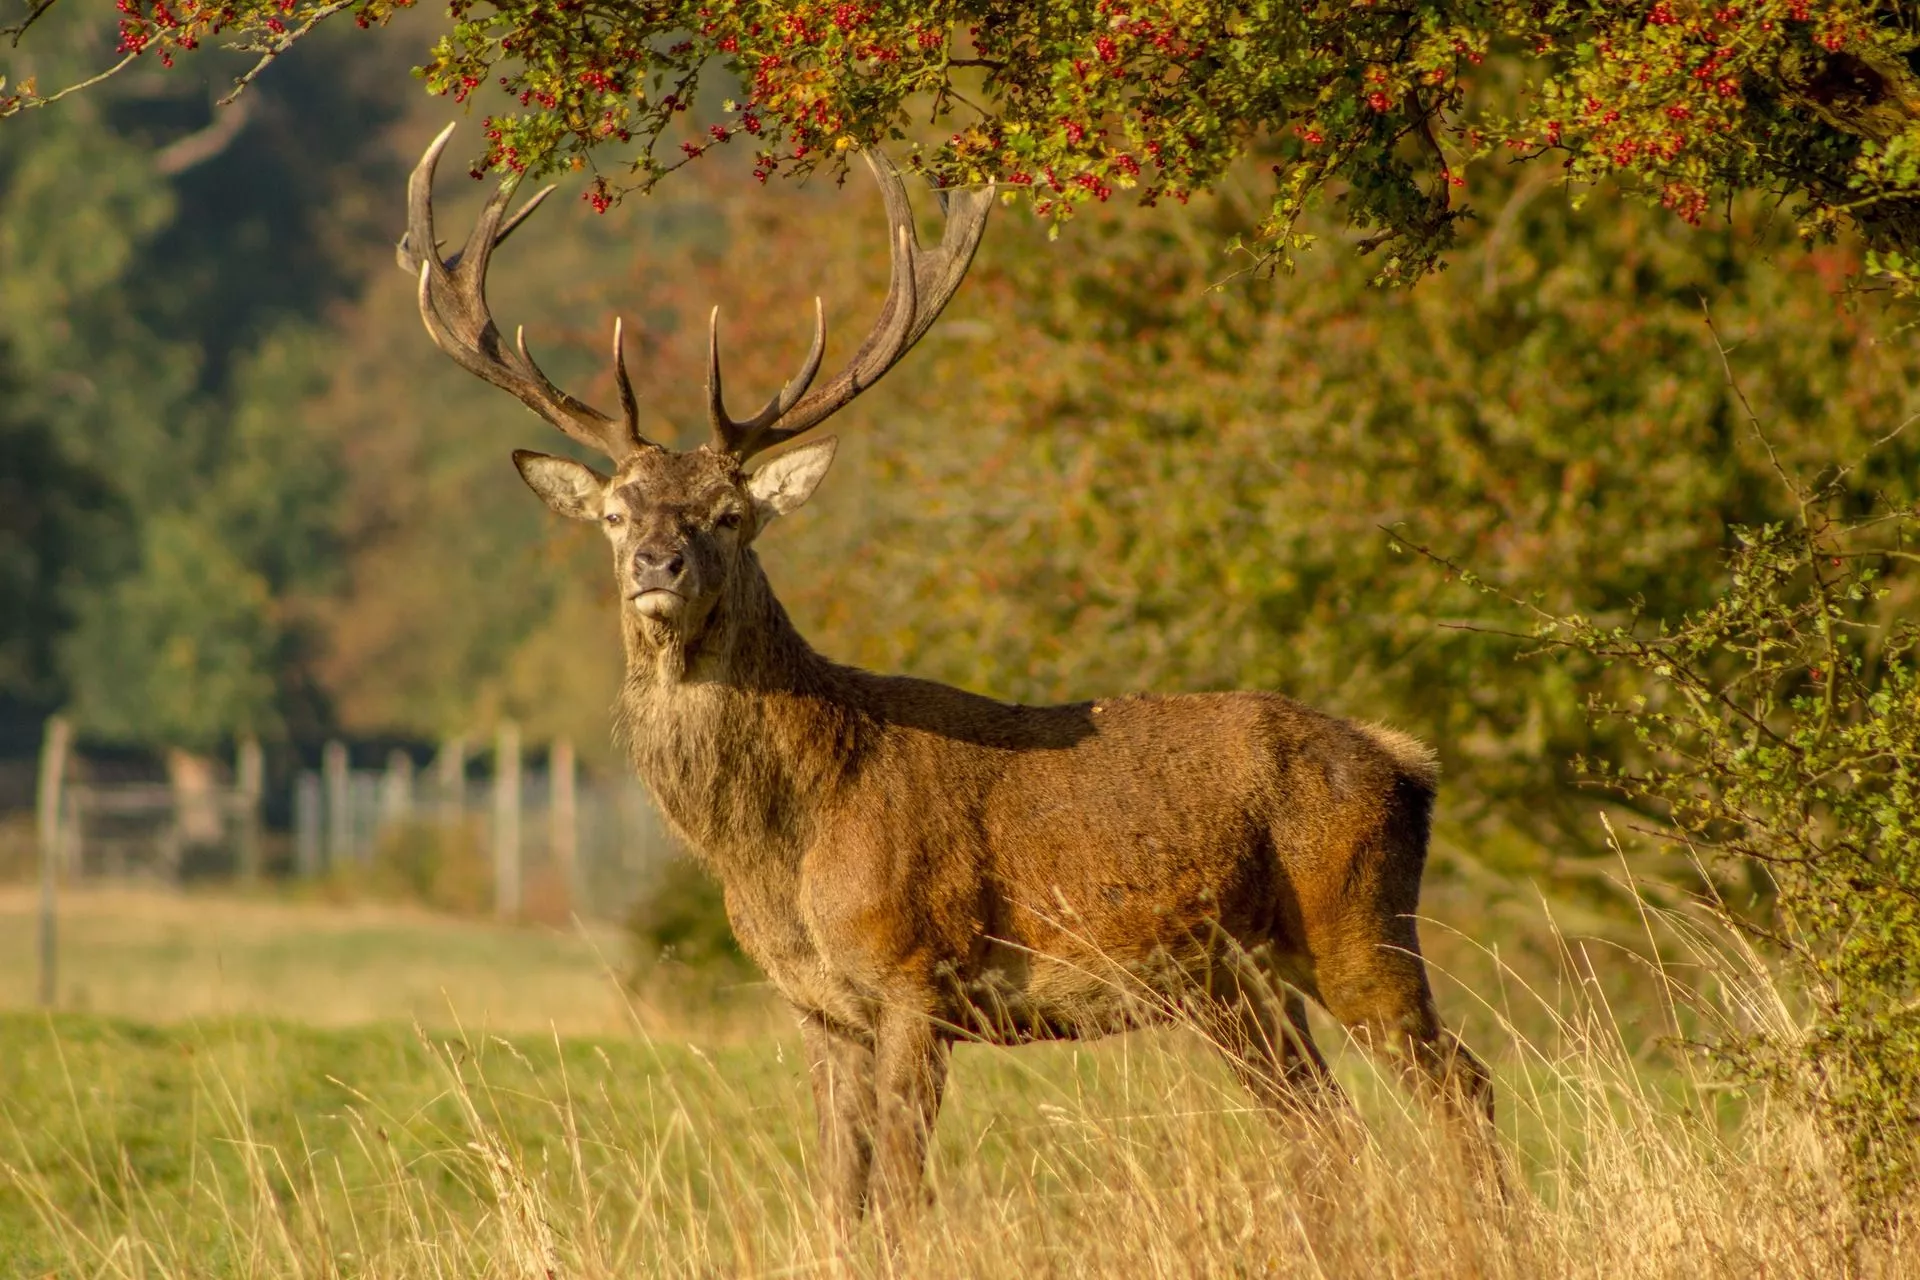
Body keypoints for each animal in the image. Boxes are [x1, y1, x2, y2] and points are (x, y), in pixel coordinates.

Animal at [398, 123, 1496, 1229]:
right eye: (617, 512)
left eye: (731, 514)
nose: (656, 564)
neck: (782, 845)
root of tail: (1408, 761)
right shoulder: (820, 1008)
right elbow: (839, 1194)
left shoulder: (915, 971)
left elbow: (900, 1192)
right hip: (1236, 982)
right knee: (1325, 1125)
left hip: (1357, 921)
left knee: (1460, 1083)